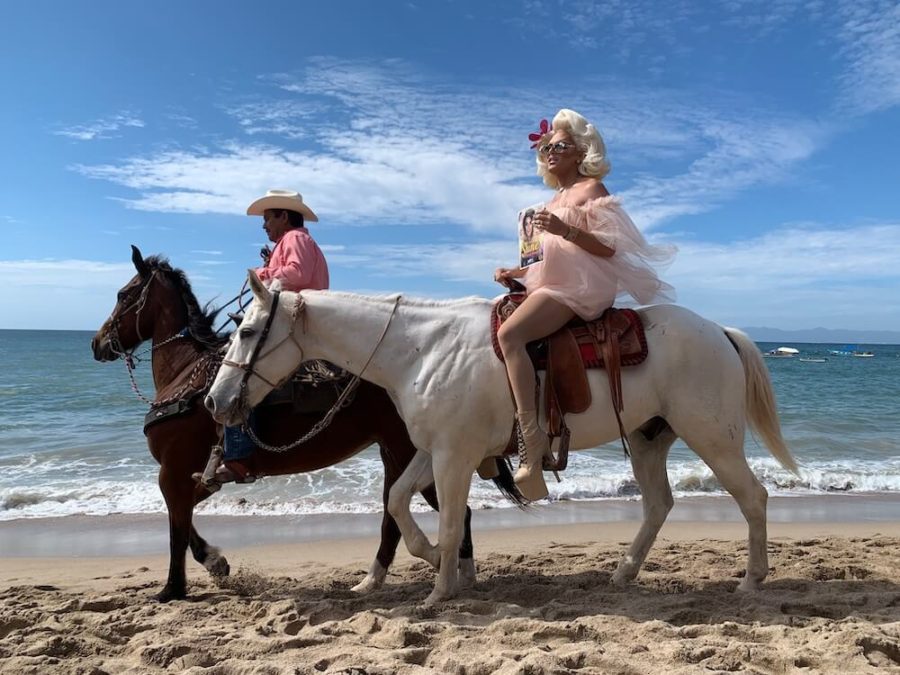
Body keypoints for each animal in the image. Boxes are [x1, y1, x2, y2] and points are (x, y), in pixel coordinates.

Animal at [91, 247, 520, 604]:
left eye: (123, 295)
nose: (97, 343)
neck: (186, 378)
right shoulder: (194, 476)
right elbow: (185, 518)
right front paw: (213, 563)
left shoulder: (173, 471)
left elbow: (177, 526)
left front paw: (174, 587)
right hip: (396, 452)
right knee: (403, 513)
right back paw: (383, 579)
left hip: (413, 452)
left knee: (441, 514)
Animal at [206, 272, 796, 604]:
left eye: (248, 331)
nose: (215, 401)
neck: (421, 349)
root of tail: (721, 332)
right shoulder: (432, 450)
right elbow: (398, 502)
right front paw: (430, 559)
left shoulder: (454, 456)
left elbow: (448, 519)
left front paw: (440, 589)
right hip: (651, 441)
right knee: (659, 505)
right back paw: (623, 574)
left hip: (713, 438)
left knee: (753, 497)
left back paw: (751, 581)